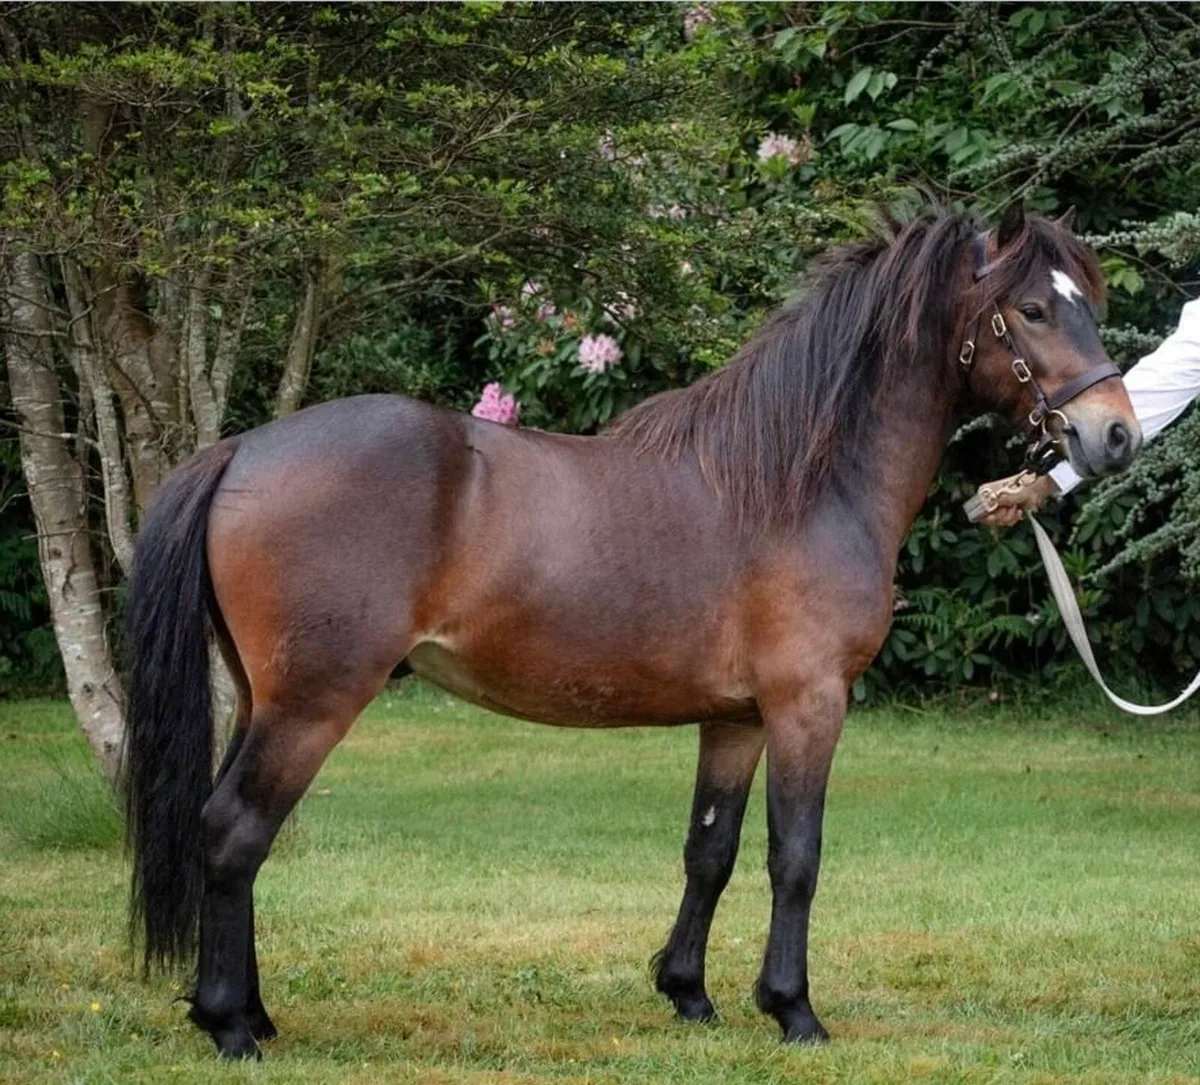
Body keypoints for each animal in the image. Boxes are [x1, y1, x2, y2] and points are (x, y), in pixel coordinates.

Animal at [122, 205, 1141, 1058]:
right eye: (1033, 310)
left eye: (1086, 303)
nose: (1116, 435)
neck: (800, 479)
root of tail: (242, 449)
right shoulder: (809, 704)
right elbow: (795, 857)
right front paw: (794, 1010)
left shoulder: (736, 718)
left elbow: (710, 851)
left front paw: (689, 991)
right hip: (312, 705)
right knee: (234, 832)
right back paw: (230, 1026)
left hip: (261, 699)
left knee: (231, 836)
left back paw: (251, 1013)